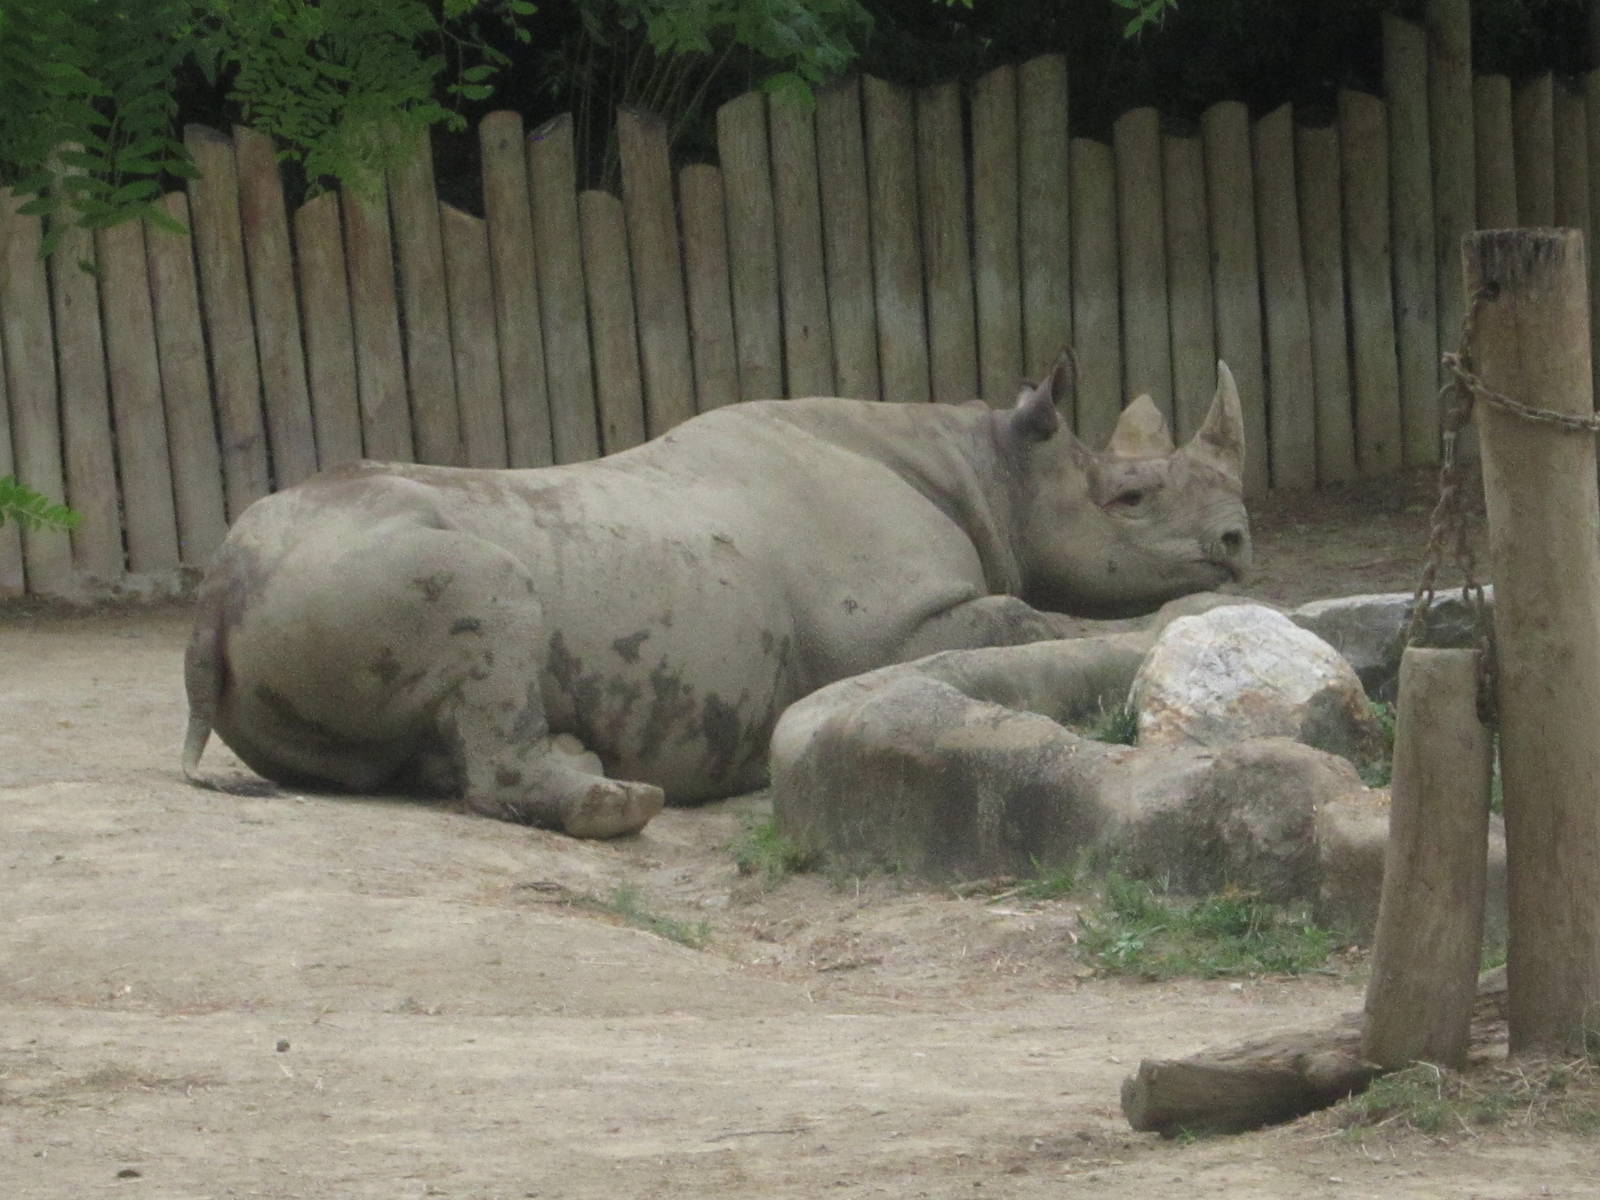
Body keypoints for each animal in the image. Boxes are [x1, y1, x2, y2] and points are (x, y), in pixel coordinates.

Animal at [184, 356, 1250, 838]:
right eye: (1131, 498)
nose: (1240, 542)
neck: (988, 464)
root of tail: (218, 586)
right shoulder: (898, 624)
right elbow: (1031, 621)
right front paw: (1170, 623)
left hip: (315, 575)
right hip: (364, 562)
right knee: (496, 597)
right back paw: (619, 805)